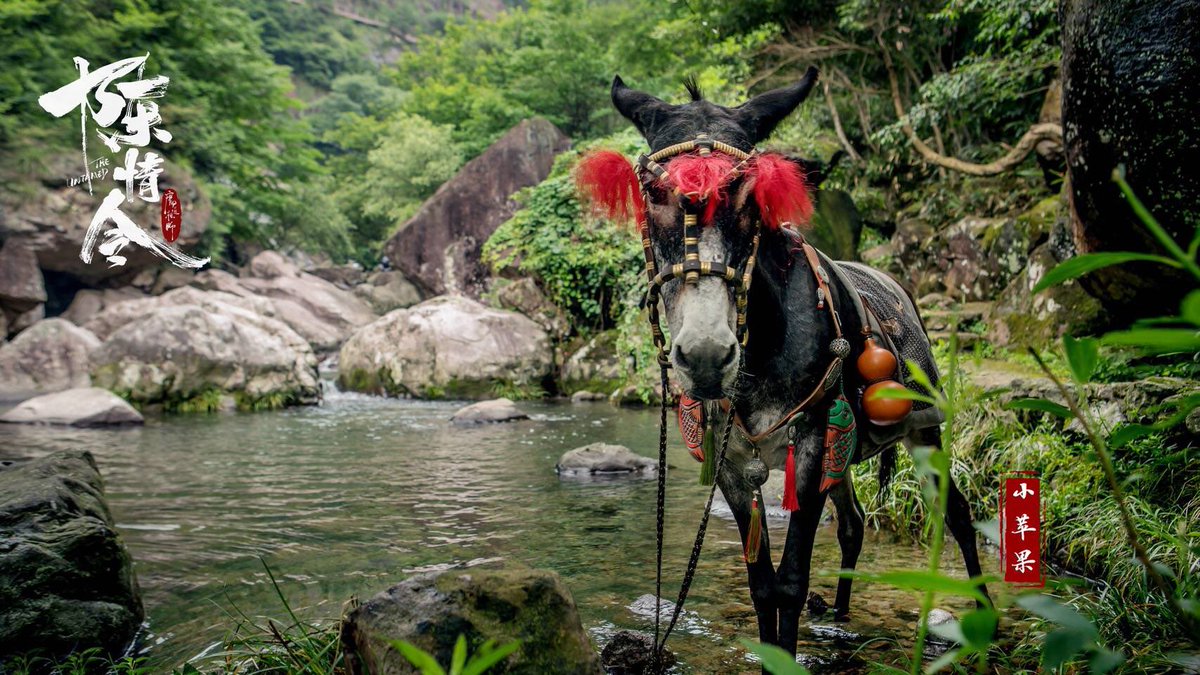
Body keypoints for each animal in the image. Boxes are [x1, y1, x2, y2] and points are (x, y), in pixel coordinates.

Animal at [576, 66, 988, 658]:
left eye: (752, 196)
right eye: (652, 192)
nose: (706, 355)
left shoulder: (812, 440)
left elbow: (791, 581)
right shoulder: (732, 462)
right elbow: (762, 585)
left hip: (922, 428)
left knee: (954, 513)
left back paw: (984, 614)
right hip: (846, 446)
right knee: (853, 524)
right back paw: (839, 616)